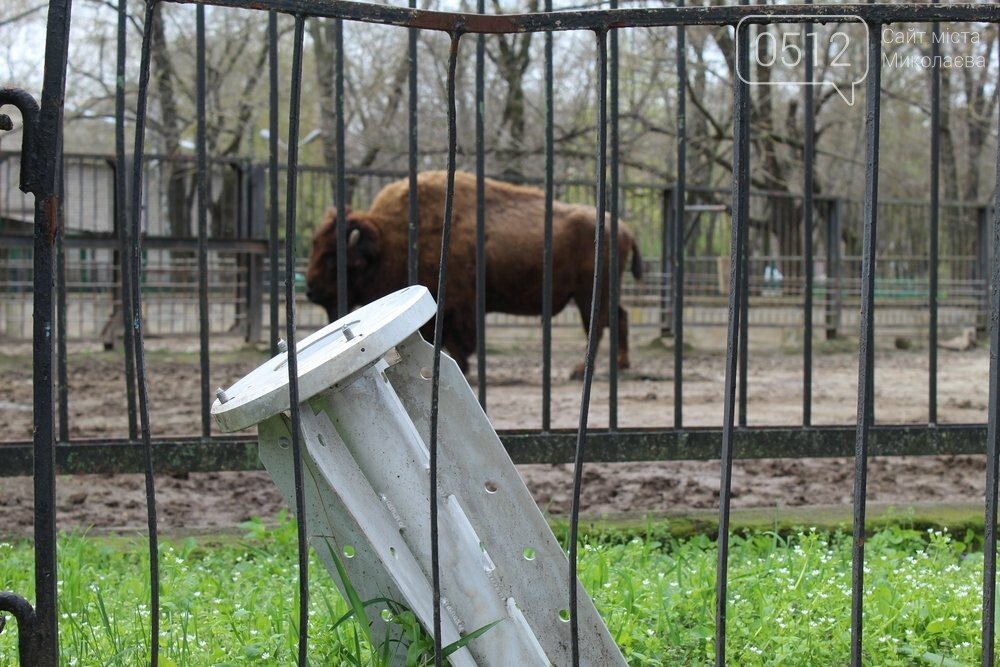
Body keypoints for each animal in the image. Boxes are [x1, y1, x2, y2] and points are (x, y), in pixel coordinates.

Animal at [304, 171, 644, 380]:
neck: (390, 238)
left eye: (333, 259)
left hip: (589, 294)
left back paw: (579, 370)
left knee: (598, 326)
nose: (310, 291)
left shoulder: (457, 307)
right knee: (620, 318)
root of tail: (625, 228)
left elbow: (457, 340)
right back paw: (621, 364)